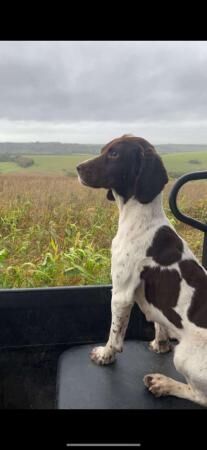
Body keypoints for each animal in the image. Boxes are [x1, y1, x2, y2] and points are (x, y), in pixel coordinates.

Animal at [76, 135, 207, 406]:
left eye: (114, 154)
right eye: (104, 149)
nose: (78, 168)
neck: (140, 218)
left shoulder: (122, 293)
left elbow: (115, 334)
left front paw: (105, 356)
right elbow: (160, 323)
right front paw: (160, 344)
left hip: (184, 357)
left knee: (200, 396)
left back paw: (163, 383)